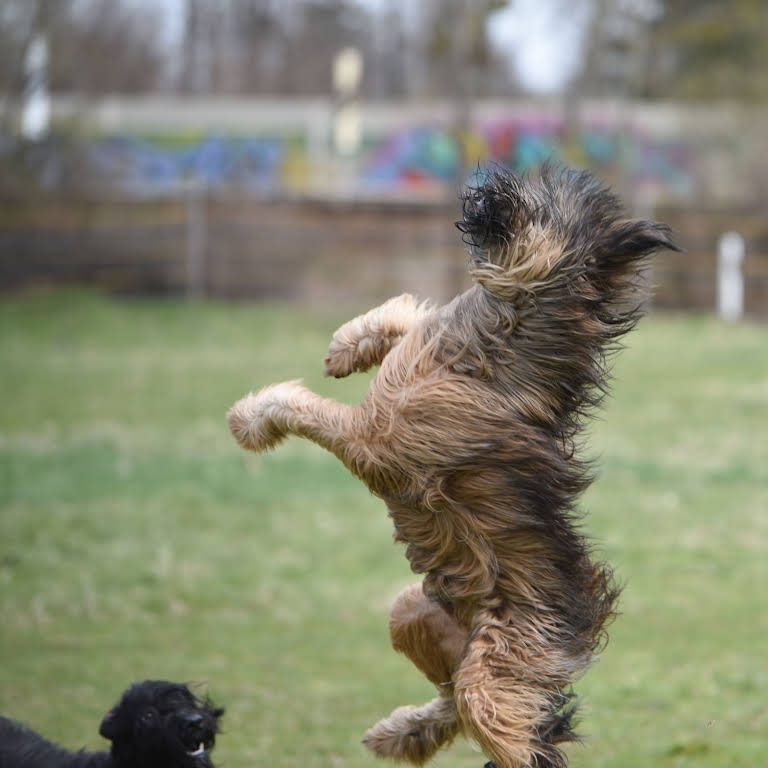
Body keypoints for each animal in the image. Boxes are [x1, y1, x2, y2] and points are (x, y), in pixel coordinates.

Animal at [228, 168, 680, 768]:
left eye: (547, 205)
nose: (489, 188)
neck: (495, 349)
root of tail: (573, 630)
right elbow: (404, 317)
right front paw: (346, 347)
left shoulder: (371, 436)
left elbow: (302, 407)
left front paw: (251, 419)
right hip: (413, 615)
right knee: (452, 703)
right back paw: (401, 732)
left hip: (493, 674)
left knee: (507, 728)